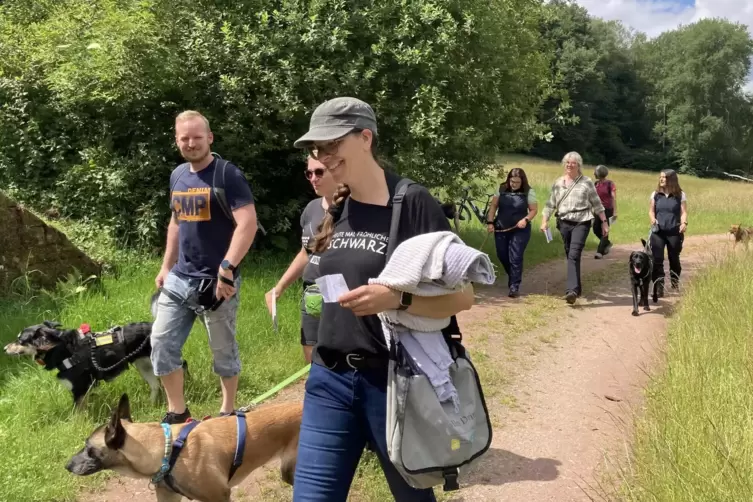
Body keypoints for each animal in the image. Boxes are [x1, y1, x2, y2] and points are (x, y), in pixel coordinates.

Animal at [3, 322, 162, 408]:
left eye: (20, 341)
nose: (4, 348)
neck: (64, 350)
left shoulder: (78, 390)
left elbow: (76, 416)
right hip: (144, 366)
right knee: (155, 386)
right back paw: (151, 404)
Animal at [67, 394, 302, 500]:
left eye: (88, 448)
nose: (67, 466)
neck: (167, 451)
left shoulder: (219, 496)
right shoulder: (168, 497)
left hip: (290, 470)